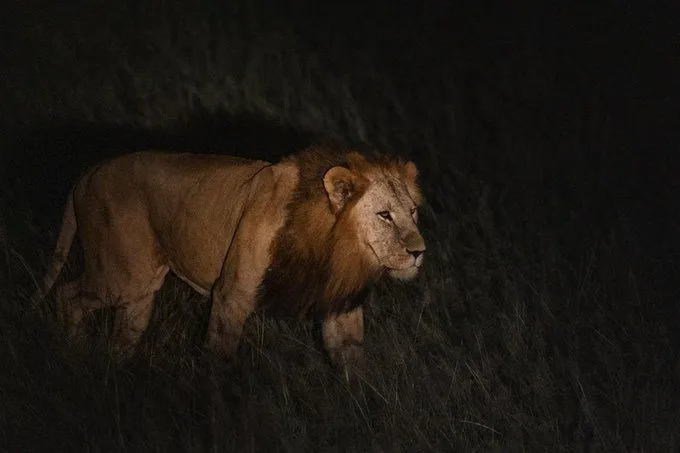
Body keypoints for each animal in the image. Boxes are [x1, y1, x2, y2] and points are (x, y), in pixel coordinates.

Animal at [36, 146, 426, 369]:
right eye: (384, 215)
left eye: (412, 212)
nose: (419, 252)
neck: (331, 247)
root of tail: (87, 173)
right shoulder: (232, 295)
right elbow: (219, 356)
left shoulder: (340, 306)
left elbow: (352, 364)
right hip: (123, 276)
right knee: (67, 295)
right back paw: (73, 353)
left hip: (140, 291)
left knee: (122, 334)